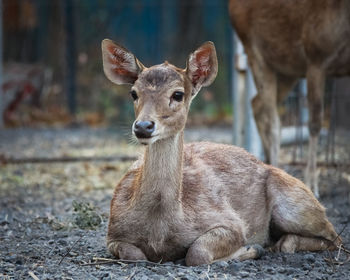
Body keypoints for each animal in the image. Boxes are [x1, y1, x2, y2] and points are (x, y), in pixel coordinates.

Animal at [101, 38, 342, 264]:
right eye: (134, 93)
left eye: (178, 94)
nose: (143, 126)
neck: (159, 228)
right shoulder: (113, 232)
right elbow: (134, 254)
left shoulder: (231, 222)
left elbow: (197, 253)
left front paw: (250, 248)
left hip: (295, 204)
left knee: (334, 237)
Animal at [228, 0, 350, 198]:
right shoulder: (316, 56)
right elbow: (315, 123)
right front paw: (312, 184)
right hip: (257, 53)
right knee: (273, 120)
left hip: (288, 69)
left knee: (257, 104)